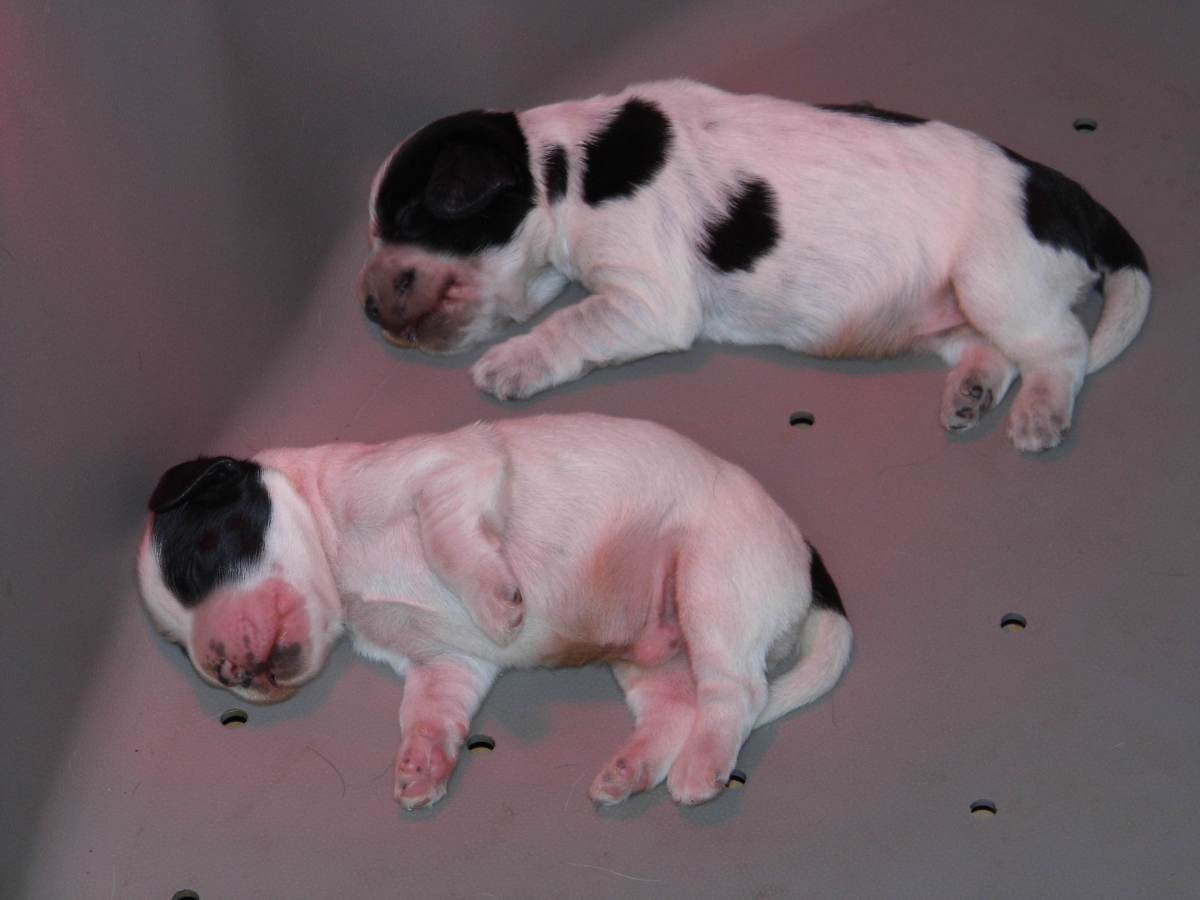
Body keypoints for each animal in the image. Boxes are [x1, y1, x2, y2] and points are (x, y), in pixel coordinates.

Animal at [136, 414, 852, 808]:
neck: (342, 567)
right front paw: (422, 762)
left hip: (713, 587)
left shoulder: (447, 472)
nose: (225, 672)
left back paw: (703, 768)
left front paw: (498, 604)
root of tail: (808, 559)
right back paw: (629, 772)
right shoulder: (447, 664)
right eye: (174, 643)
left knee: (738, 693)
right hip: (657, 655)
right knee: (681, 708)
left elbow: (446, 540)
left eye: (200, 559)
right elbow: (428, 713)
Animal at [358, 79, 1150, 453]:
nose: (365, 308)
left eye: (408, 222)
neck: (557, 168)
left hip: (997, 279)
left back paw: (1040, 414)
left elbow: (571, 323)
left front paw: (510, 363)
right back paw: (972, 394)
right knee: (996, 353)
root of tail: (1062, 192)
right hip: (951, 312)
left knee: (1061, 348)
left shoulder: (648, 297)